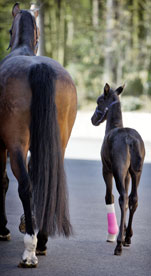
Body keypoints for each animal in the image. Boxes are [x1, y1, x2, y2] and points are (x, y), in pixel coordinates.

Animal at [0, 3, 77, 268]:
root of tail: (38, 67)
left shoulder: (1, 146)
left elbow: (3, 182)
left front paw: (4, 229)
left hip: (16, 145)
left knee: (25, 186)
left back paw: (30, 250)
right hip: (58, 143)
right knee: (46, 183)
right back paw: (41, 239)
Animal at [91, 83, 145, 256]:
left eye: (99, 101)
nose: (93, 119)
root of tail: (130, 140)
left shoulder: (106, 169)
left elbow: (110, 197)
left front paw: (113, 235)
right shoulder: (127, 175)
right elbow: (128, 201)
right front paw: (126, 232)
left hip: (118, 170)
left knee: (123, 197)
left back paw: (119, 244)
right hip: (137, 172)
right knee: (133, 198)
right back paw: (127, 237)